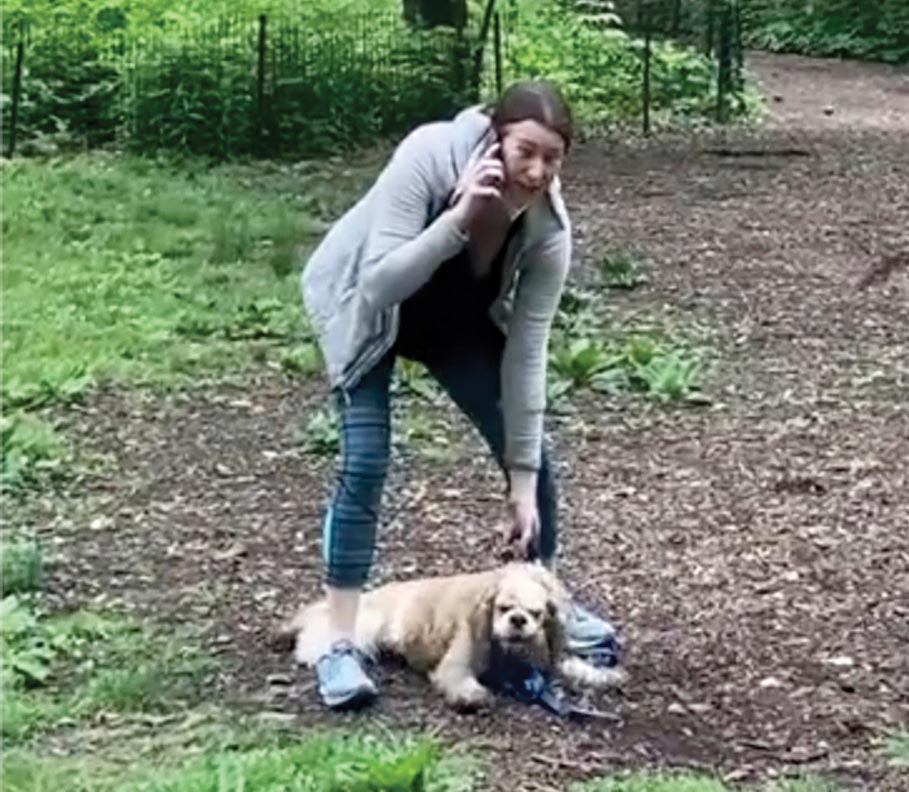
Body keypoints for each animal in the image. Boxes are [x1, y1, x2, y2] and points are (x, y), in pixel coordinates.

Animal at [278, 564, 624, 712]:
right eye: (503, 608)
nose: (517, 620)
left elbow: (571, 666)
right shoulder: (458, 662)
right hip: (366, 626)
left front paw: (601, 675)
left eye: (535, 613)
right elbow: (459, 679)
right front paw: (473, 696)